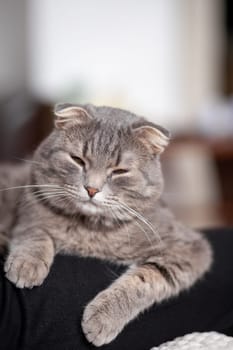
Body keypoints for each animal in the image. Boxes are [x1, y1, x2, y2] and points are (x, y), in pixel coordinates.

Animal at [0, 102, 213, 346]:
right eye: (78, 160)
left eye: (119, 171)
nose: (91, 189)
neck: (89, 229)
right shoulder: (28, 212)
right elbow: (35, 232)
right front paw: (28, 263)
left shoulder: (189, 247)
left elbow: (145, 278)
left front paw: (104, 317)